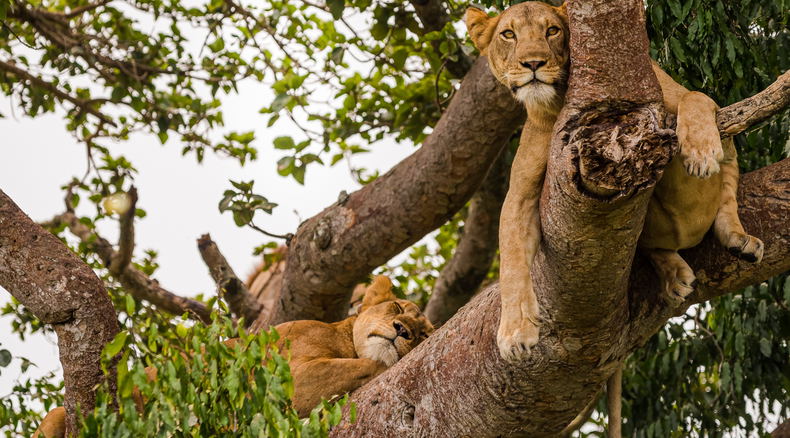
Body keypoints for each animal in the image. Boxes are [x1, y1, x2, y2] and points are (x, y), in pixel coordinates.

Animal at [33, 275, 433, 436]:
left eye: (424, 334)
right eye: (397, 307)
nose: (403, 331)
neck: (341, 336)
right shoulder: (288, 379)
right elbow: (368, 363)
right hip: (56, 417)